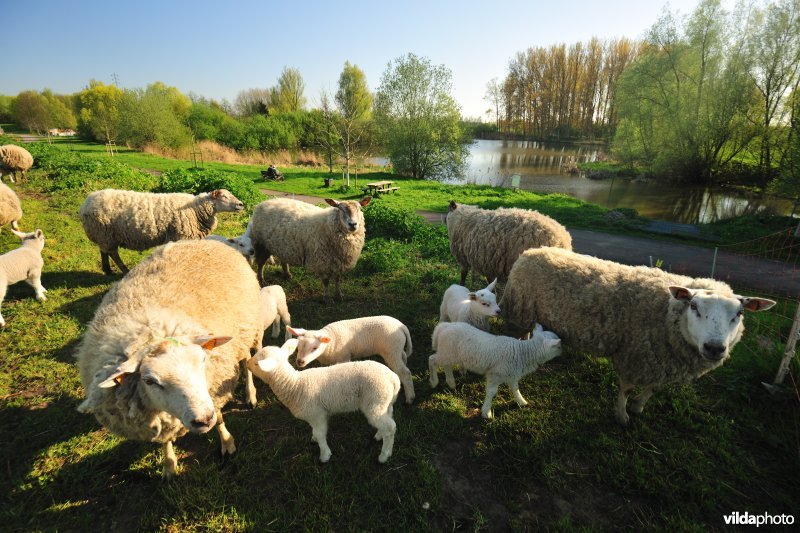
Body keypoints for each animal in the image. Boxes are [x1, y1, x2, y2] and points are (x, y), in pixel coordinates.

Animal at [75, 239, 264, 476]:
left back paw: (250, 394)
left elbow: (220, 417)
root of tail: (200, 240)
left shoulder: (213, 388)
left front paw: (227, 444)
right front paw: (169, 465)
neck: (150, 332)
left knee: (247, 360)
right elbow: (166, 439)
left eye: (203, 362)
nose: (203, 419)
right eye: (149, 381)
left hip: (247, 327)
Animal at [81, 188, 245, 274]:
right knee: (112, 253)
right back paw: (123, 270)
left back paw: (107, 269)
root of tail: (85, 204)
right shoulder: (180, 235)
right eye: (224, 196)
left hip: (104, 236)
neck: (196, 208)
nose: (241, 204)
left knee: (104, 252)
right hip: (106, 233)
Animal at [247, 338, 400, 464]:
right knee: (388, 419)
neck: (295, 385)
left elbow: (320, 434)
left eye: (256, 363)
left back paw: (384, 455)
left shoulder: (316, 415)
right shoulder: (321, 414)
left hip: (375, 401)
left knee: (390, 427)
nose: (247, 363)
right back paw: (380, 436)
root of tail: (393, 378)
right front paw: (314, 439)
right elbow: (316, 432)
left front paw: (324, 455)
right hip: (385, 402)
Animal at [428, 318, 560, 418]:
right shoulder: (495, 374)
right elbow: (491, 392)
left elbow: (515, 389)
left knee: (446, 365)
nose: (562, 351)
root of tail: (443, 327)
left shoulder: (512, 374)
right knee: (432, 360)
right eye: (558, 346)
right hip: (447, 352)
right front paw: (486, 412)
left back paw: (451, 383)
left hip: (449, 353)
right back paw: (434, 382)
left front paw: (521, 402)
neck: (522, 352)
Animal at [500, 245, 776, 424]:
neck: (665, 314)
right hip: (521, 311)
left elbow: (652, 389)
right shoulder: (635, 355)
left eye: (739, 314)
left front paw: (639, 407)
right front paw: (622, 416)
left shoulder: (660, 362)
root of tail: (531, 252)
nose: (715, 348)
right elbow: (626, 389)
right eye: (694, 307)